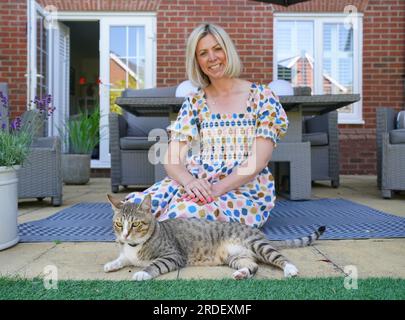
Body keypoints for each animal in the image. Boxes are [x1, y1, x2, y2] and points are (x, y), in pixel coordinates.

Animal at [104, 192, 326, 280]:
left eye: (135, 224)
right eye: (119, 224)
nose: (124, 235)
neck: (134, 247)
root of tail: (259, 232)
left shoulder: (173, 255)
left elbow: (153, 265)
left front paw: (142, 273)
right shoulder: (127, 254)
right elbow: (122, 259)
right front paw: (112, 264)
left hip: (259, 246)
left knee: (281, 258)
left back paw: (290, 269)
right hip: (236, 257)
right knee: (253, 266)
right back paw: (242, 273)